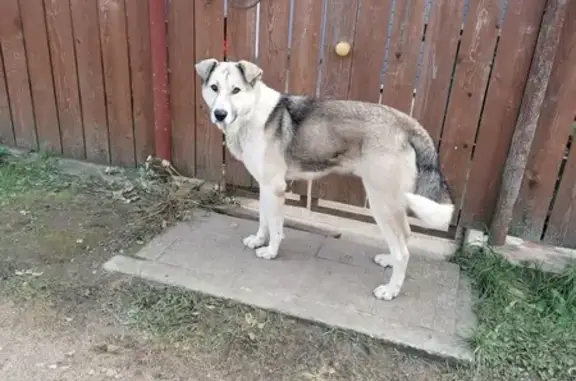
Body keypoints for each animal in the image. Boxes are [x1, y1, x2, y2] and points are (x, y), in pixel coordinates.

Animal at [195, 58, 454, 300]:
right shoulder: (264, 186)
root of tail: (405, 123)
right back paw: (389, 260)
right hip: (393, 203)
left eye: (236, 90)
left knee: (403, 251)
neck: (251, 114)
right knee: (405, 236)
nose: (220, 114)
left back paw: (390, 290)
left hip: (381, 203)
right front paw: (259, 240)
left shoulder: (276, 187)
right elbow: (263, 219)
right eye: (215, 87)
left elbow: (276, 227)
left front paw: (270, 252)